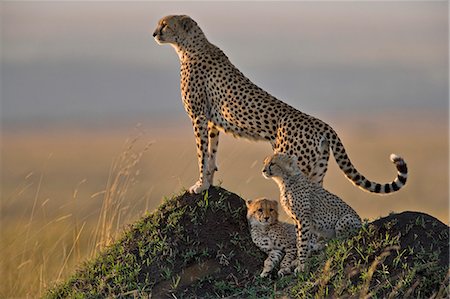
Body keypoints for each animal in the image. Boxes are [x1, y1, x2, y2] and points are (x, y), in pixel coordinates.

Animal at [153, 15, 410, 196]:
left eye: (165, 25)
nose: (154, 33)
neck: (190, 46)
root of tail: (323, 124)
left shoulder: (198, 116)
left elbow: (201, 154)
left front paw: (199, 186)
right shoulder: (212, 122)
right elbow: (211, 154)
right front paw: (207, 182)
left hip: (296, 164)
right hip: (317, 169)